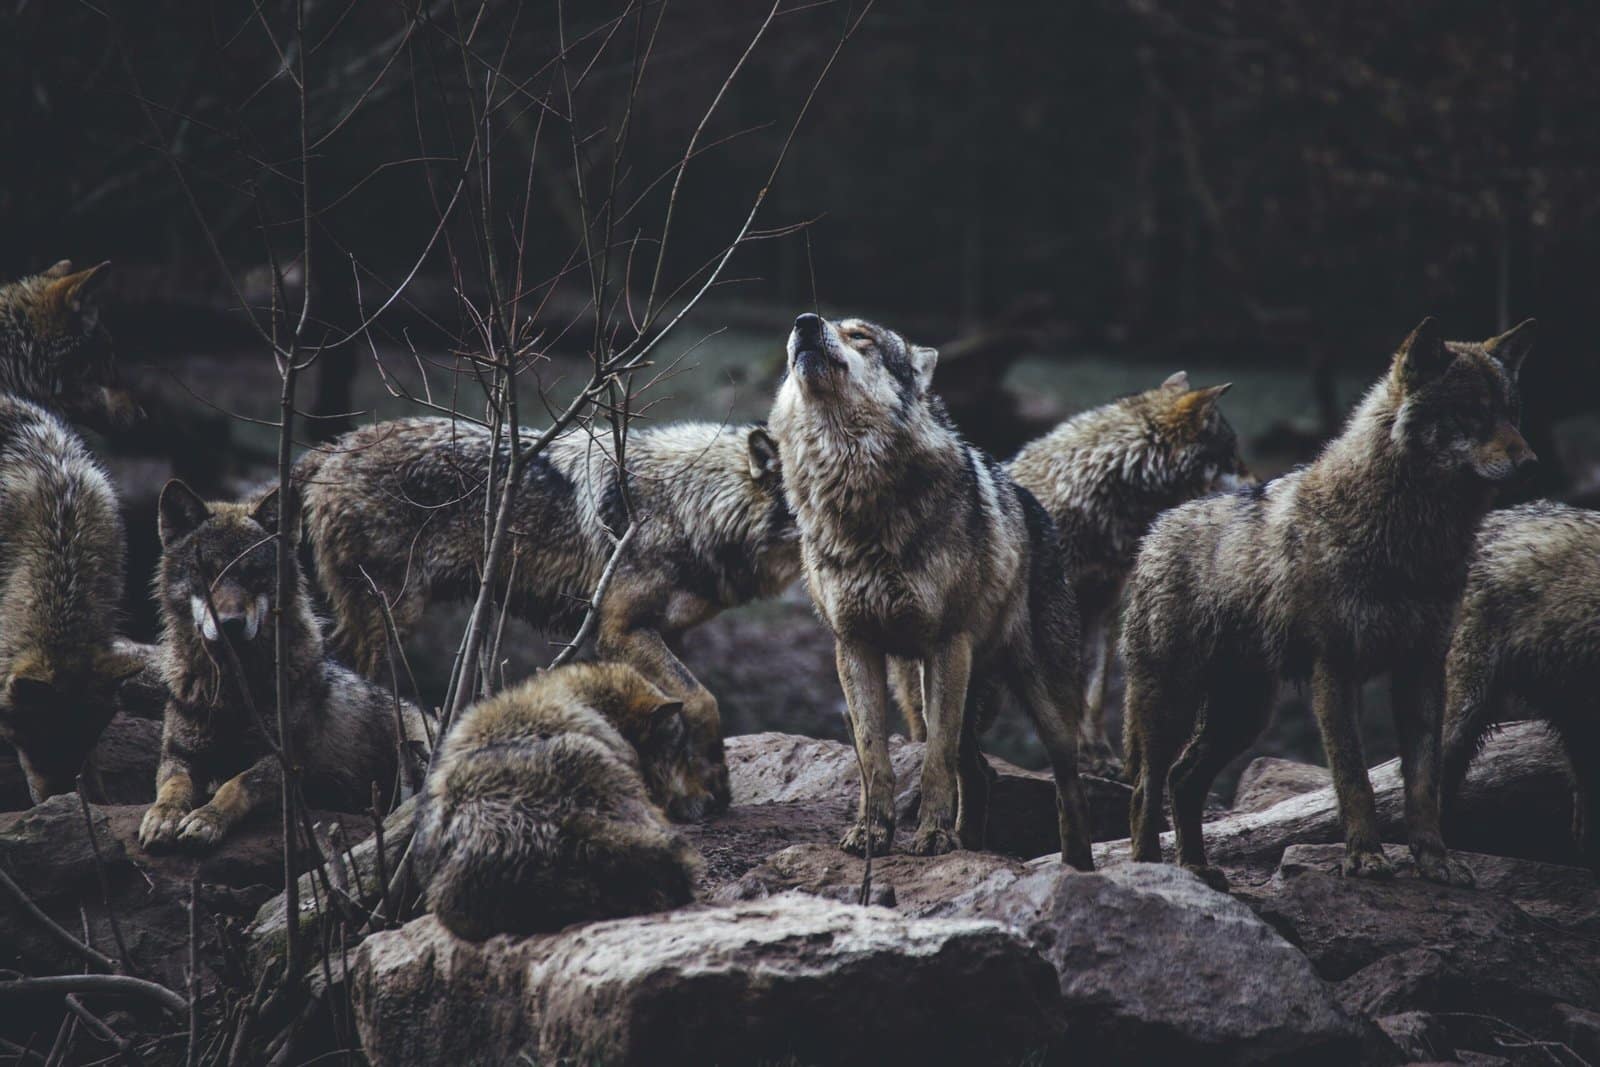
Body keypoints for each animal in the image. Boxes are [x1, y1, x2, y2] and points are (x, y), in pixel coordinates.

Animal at [138, 480, 432, 851]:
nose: (230, 624)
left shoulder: (287, 763)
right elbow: (173, 786)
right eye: (206, 572)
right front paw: (162, 816)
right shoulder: (178, 756)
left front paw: (207, 818)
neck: (233, 691)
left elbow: (236, 784)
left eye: (254, 573)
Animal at [296, 417, 801, 818]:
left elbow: (679, 711)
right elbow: (703, 700)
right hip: (390, 619)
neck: (689, 505)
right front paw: (712, 785)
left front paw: (694, 791)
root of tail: (332, 447)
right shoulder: (620, 631)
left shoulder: (666, 633)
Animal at [769, 312, 1092, 867]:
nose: (805, 322)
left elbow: (934, 761)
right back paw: (972, 845)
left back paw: (1077, 866)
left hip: (1040, 699)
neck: (855, 494)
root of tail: (1036, 506)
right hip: (923, 689)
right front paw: (872, 834)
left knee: (1067, 787)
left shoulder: (946, 644)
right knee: (980, 772)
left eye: (860, 336)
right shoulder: (854, 647)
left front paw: (934, 838)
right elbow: (873, 757)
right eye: (814, 324)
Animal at [1122, 318, 1537, 888]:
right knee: (1147, 785)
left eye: (1512, 413)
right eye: (1472, 412)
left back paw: (1198, 870)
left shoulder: (1422, 669)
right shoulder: (1335, 669)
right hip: (1173, 704)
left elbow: (1423, 784)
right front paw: (1365, 858)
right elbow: (1354, 777)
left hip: (1244, 714)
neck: (1410, 537)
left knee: (1184, 778)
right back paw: (1151, 871)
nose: (1530, 462)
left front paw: (1435, 860)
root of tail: (1156, 528)